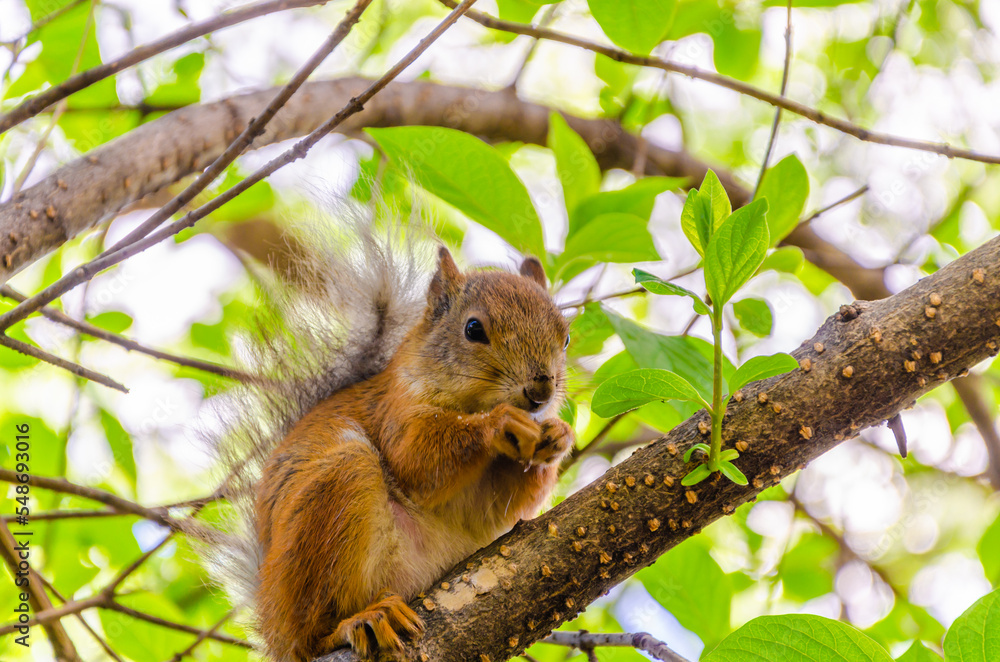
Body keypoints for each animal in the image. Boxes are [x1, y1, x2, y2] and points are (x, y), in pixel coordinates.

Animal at [200, 223, 576, 662]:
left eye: (566, 338)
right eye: (473, 329)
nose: (541, 389)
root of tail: (272, 624)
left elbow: (502, 505)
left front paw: (557, 436)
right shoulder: (394, 410)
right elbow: (418, 460)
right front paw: (498, 424)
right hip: (336, 494)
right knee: (310, 636)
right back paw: (359, 621)